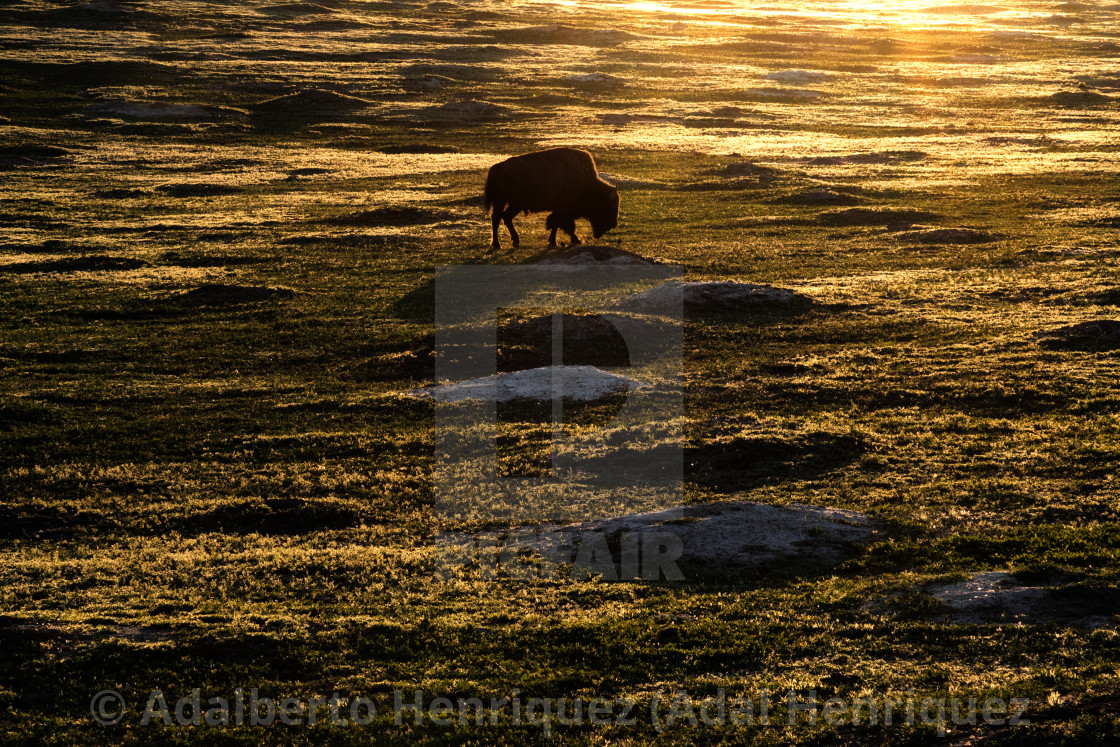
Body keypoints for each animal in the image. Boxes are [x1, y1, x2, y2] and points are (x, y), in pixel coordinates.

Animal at [483, 145, 622, 250]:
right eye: (609, 206)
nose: (613, 224)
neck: (588, 183)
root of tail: (498, 167)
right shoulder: (564, 210)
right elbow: (566, 225)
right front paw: (576, 240)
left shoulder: (559, 210)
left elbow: (555, 224)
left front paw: (552, 241)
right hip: (510, 203)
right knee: (500, 218)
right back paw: (499, 244)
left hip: (507, 203)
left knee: (502, 217)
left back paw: (512, 241)